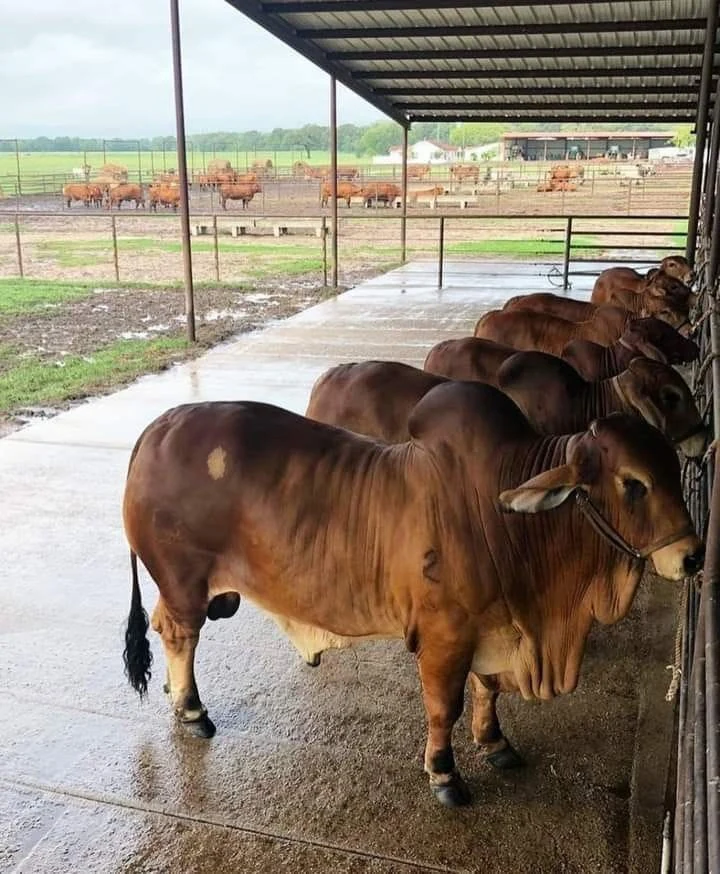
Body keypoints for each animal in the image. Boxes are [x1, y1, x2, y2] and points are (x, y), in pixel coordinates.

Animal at [123, 385, 703, 807]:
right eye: (633, 483)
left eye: (673, 470)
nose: (693, 557)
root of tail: (155, 428)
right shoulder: (445, 635)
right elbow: (444, 705)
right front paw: (444, 774)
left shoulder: (495, 625)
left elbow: (488, 689)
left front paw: (495, 742)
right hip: (185, 582)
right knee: (179, 634)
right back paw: (193, 711)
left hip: (186, 589)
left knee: (166, 628)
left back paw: (178, 699)